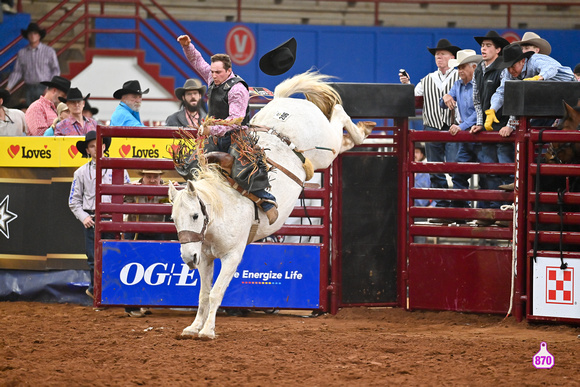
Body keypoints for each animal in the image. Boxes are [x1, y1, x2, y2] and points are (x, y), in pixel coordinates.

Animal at [168, 71, 376, 338]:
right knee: (341, 136)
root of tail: (285, 104)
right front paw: (194, 327)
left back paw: (362, 129)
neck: (221, 211)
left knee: (338, 114)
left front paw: (208, 331)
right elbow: (203, 295)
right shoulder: (204, 257)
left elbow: (216, 293)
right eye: (174, 219)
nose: (187, 258)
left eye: (195, 215)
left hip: (326, 147)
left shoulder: (233, 257)